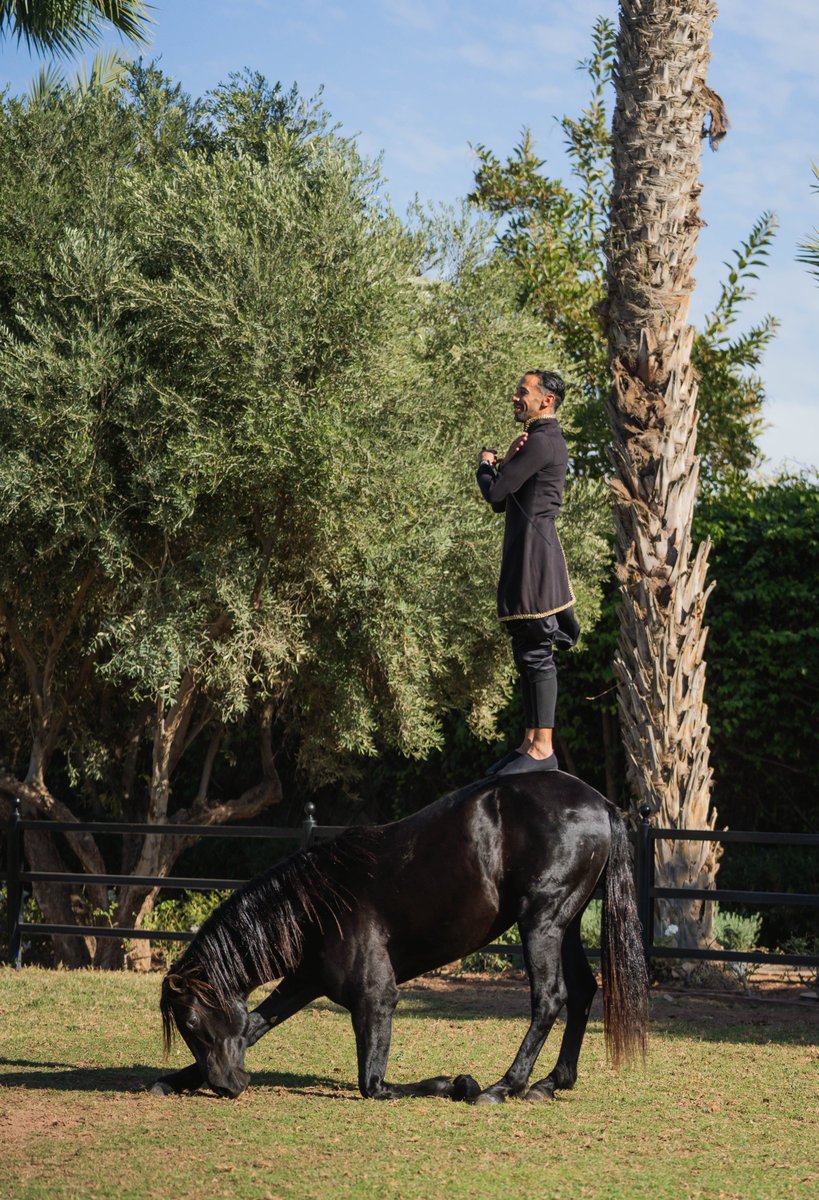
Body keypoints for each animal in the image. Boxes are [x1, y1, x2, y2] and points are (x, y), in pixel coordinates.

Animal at [152, 771, 648, 1105]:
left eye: (192, 1022)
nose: (228, 1086)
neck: (320, 904)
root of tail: (602, 803)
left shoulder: (375, 998)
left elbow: (372, 1085)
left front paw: (458, 1084)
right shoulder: (303, 982)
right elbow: (253, 1026)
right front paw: (175, 1079)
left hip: (541, 923)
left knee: (549, 999)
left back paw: (503, 1086)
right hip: (566, 924)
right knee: (583, 991)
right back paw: (550, 1083)